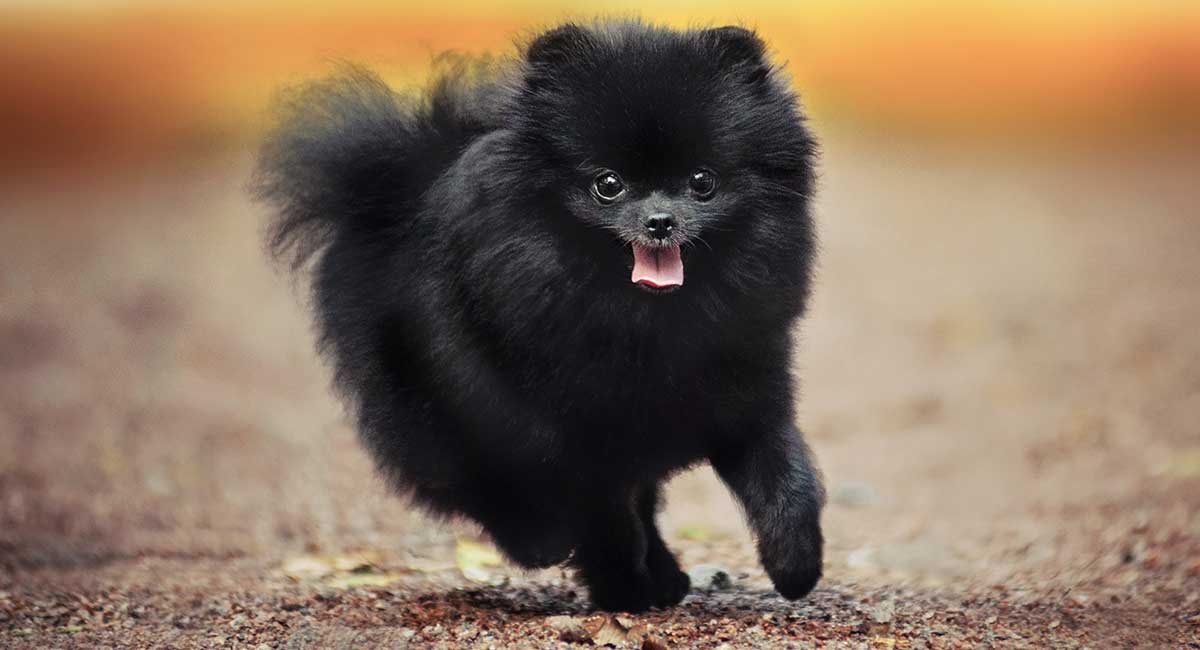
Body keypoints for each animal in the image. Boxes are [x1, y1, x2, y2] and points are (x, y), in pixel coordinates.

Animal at [255, 19, 825, 611]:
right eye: (608, 184)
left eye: (702, 181)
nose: (660, 221)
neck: (648, 320)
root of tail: (391, 190)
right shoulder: (571, 432)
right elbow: (607, 519)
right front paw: (623, 589)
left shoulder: (746, 393)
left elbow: (789, 480)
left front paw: (795, 565)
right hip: (445, 405)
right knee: (486, 483)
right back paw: (541, 542)